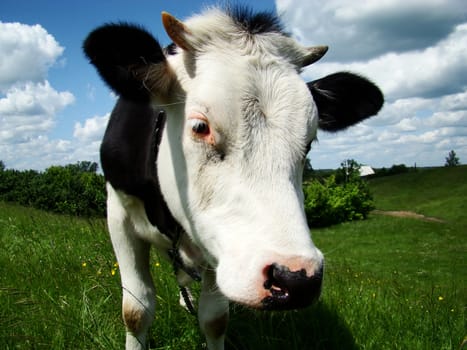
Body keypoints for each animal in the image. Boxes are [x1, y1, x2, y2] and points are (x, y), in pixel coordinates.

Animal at [84, 5, 384, 350]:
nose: (296, 279)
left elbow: (215, 320)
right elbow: (136, 310)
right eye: (200, 127)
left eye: (309, 141)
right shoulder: (118, 213)